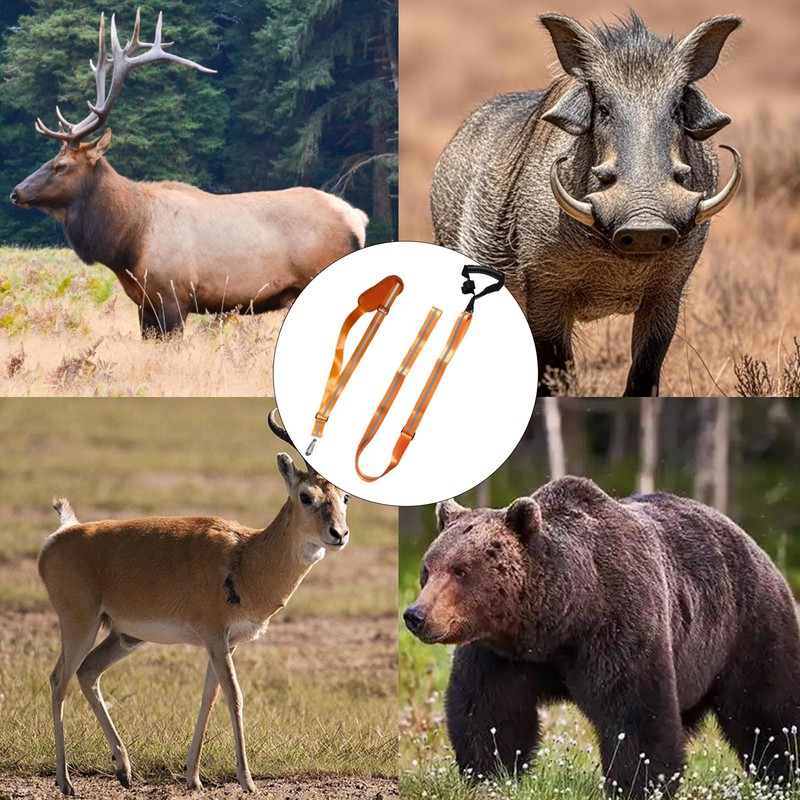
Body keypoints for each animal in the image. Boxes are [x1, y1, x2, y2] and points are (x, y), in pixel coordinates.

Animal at [10, 10, 369, 338]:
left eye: (61, 166)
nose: (16, 191)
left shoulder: (172, 296)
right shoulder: (144, 304)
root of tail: (357, 218)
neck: (129, 243)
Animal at [37, 409, 349, 795]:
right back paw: (65, 781)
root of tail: (61, 535)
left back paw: (124, 770)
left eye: (344, 497)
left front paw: (193, 776)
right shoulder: (214, 635)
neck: (246, 558)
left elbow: (209, 697)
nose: (339, 534)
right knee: (58, 680)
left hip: (124, 637)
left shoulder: (227, 643)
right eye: (306, 496)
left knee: (87, 672)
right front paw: (247, 781)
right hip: (80, 625)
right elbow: (234, 695)